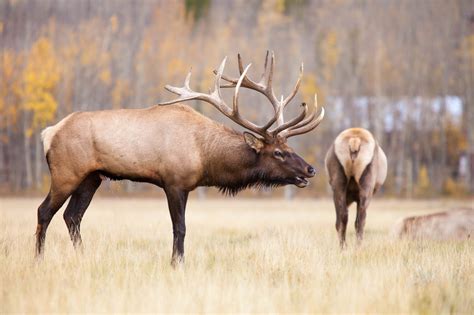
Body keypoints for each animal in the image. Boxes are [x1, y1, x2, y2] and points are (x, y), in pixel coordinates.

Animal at [36, 51, 326, 264]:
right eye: (278, 152)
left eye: (289, 147)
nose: (310, 169)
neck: (205, 157)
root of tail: (49, 133)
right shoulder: (175, 182)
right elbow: (180, 228)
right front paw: (177, 263)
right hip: (66, 173)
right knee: (45, 211)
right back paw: (38, 259)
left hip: (91, 177)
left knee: (73, 217)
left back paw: (82, 257)